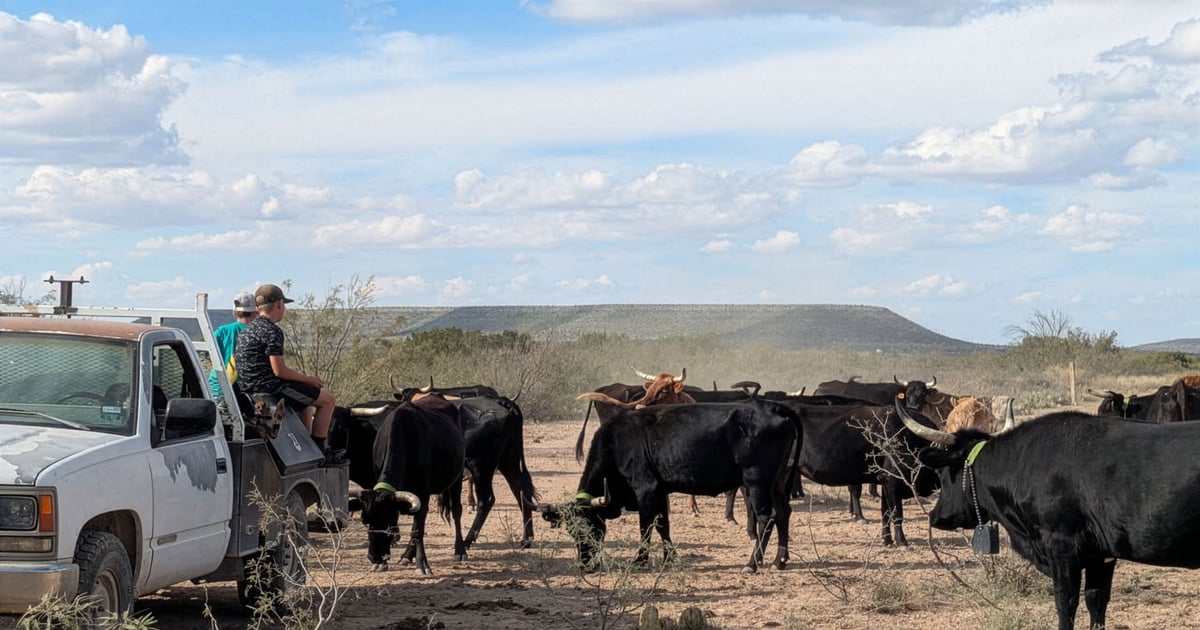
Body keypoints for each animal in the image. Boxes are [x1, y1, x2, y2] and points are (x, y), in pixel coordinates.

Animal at [339, 394, 467, 575]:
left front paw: (422, 563)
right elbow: (415, 527)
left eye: (387, 521)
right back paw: (407, 555)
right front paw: (386, 561)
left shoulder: (423, 494)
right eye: (365, 521)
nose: (374, 557)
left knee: (456, 511)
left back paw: (460, 551)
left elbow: (418, 529)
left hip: (457, 478)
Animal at [539, 399, 801, 573]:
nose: (586, 565)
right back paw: (779, 561)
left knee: (767, 517)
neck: (616, 442)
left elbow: (646, 527)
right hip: (778, 481)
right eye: (572, 531)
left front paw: (640, 560)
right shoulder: (660, 491)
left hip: (757, 481)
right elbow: (663, 525)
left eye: (591, 527)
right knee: (783, 513)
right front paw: (669, 557)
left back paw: (752, 564)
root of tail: (772, 406)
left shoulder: (645, 489)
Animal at [896, 398, 1200, 630]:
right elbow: (1096, 601)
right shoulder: (1101, 554)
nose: (936, 516)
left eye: (943, 472)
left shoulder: (1063, 547)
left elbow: (1065, 604)